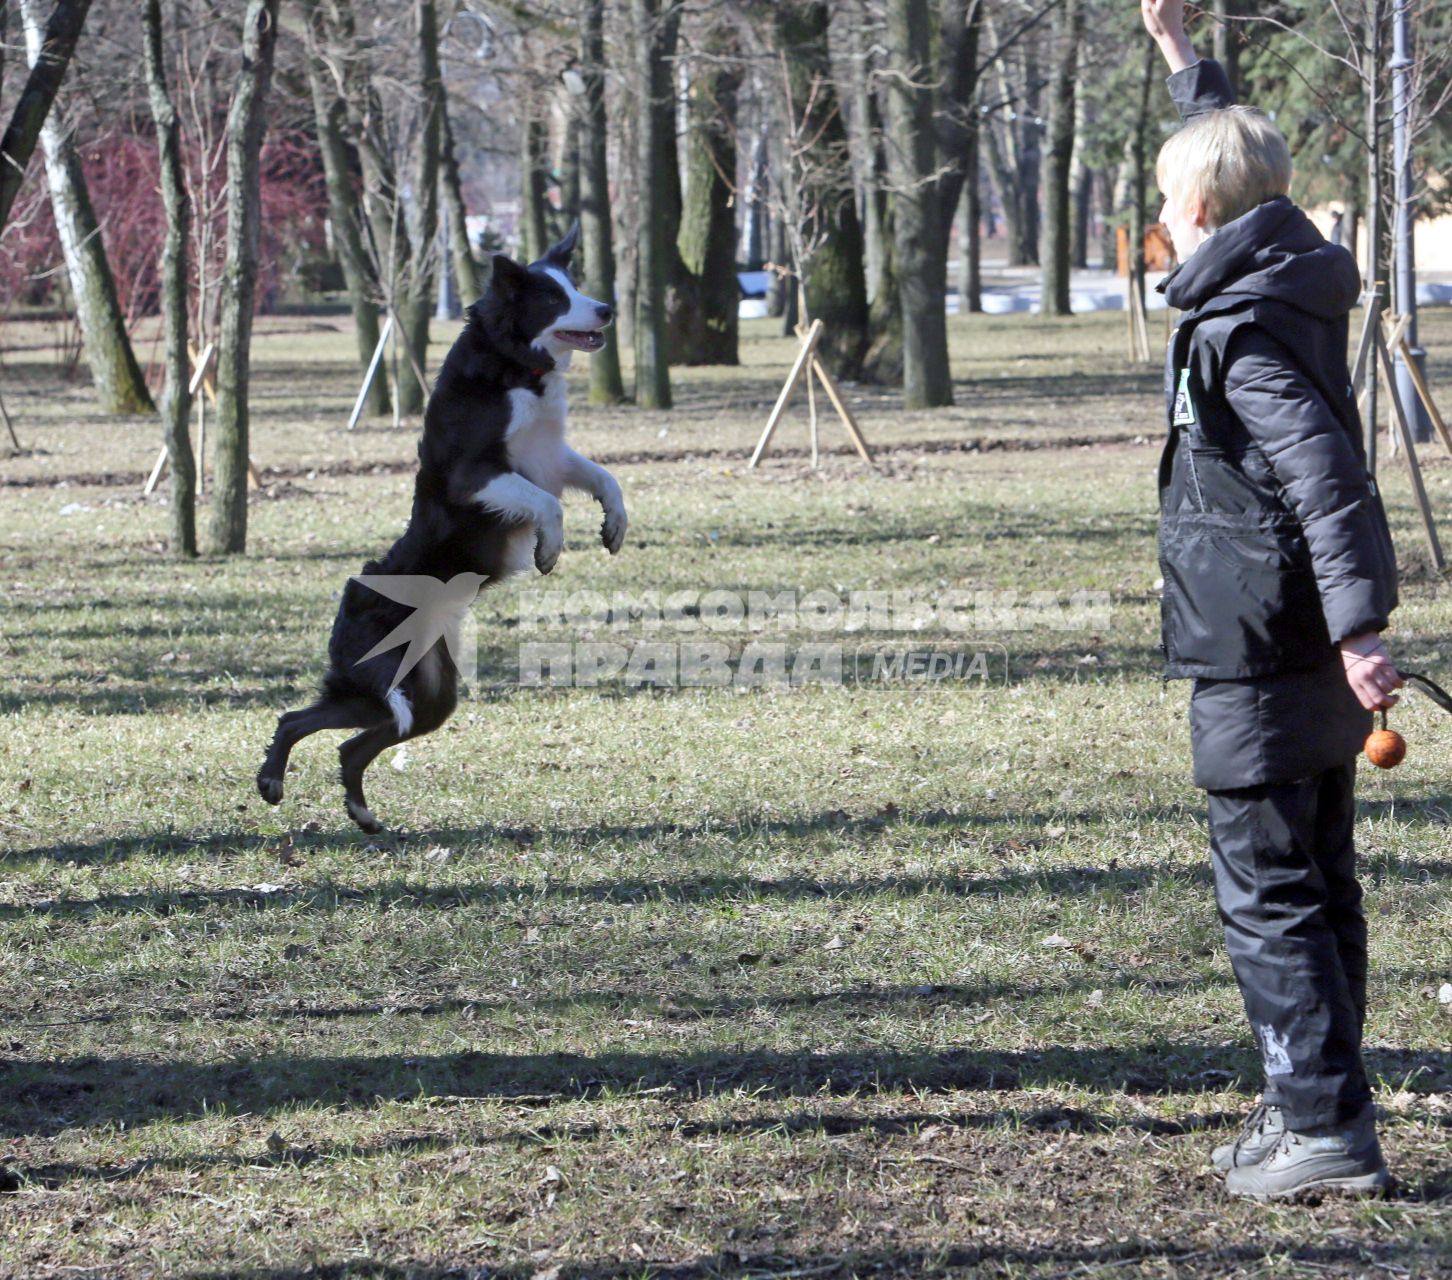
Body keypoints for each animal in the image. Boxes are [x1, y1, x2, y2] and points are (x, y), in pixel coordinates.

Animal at [261, 222, 624, 830]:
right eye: (554, 298)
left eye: (574, 284)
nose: (607, 309)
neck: (511, 361)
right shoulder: (476, 473)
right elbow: (548, 506)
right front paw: (549, 550)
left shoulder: (550, 455)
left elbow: (604, 478)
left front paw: (615, 525)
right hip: (388, 682)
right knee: (311, 725)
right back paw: (278, 784)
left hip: (426, 695)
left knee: (332, 736)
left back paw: (356, 812)